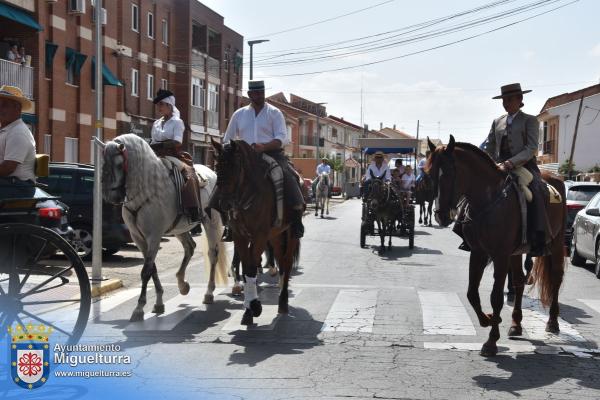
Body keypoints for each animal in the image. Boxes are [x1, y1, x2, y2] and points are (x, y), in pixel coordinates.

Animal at [101, 134, 227, 322]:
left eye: (118, 164)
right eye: (103, 162)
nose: (110, 197)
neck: (145, 191)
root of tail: (211, 172)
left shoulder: (154, 235)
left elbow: (146, 270)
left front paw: (139, 308)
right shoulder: (138, 237)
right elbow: (152, 268)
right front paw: (159, 302)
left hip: (211, 223)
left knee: (213, 254)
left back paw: (209, 293)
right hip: (180, 228)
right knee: (190, 247)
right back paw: (182, 284)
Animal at [213, 140, 302, 324]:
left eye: (234, 167)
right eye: (216, 166)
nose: (223, 203)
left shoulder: (260, 236)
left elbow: (251, 268)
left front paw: (254, 306)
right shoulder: (240, 236)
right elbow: (246, 266)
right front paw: (249, 309)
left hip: (290, 235)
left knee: (287, 263)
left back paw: (283, 303)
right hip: (276, 236)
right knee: (280, 261)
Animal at [426, 137, 568, 356]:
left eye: (449, 173)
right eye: (430, 173)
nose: (440, 216)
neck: (489, 198)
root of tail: (555, 177)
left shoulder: (500, 255)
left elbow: (496, 297)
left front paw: (491, 341)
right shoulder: (478, 252)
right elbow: (472, 293)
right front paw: (489, 319)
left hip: (556, 243)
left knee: (555, 277)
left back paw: (552, 321)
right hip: (517, 252)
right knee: (518, 281)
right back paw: (516, 324)